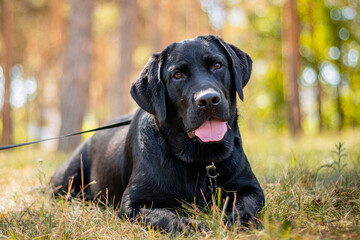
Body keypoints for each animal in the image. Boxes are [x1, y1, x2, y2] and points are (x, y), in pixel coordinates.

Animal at [50, 35, 264, 232]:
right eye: (177, 75)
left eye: (218, 65)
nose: (208, 100)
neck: (199, 159)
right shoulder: (133, 204)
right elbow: (167, 216)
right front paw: (192, 226)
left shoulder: (251, 188)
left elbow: (246, 206)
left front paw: (238, 221)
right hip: (66, 179)